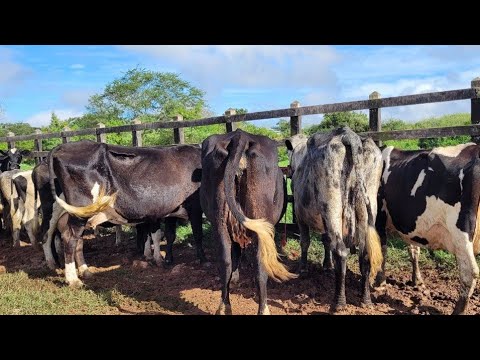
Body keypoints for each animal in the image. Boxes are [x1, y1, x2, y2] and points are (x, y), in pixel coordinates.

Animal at [47, 141, 205, 286]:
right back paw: (72, 279)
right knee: (65, 238)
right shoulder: (195, 207)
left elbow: (169, 235)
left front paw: (166, 260)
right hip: (79, 211)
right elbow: (197, 234)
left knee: (74, 239)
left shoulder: (171, 212)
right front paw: (202, 259)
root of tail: (63, 147)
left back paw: (85, 272)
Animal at [199, 129, 296, 316]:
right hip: (260, 220)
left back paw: (224, 307)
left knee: (224, 261)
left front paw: (235, 277)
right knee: (260, 265)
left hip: (219, 221)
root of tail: (240, 135)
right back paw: (263, 309)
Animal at [284, 128, 382, 310]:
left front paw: (302, 268)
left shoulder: (300, 216)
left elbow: (305, 242)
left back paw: (338, 302)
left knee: (341, 251)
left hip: (331, 206)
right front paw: (327, 266)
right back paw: (365, 300)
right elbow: (326, 241)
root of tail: (348, 134)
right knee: (365, 254)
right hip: (367, 204)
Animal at [376, 142, 480, 314]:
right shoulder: (410, 224)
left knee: (469, 272)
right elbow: (413, 250)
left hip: (461, 233)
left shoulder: (379, 215)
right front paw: (417, 282)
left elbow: (381, 250)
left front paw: (379, 283)